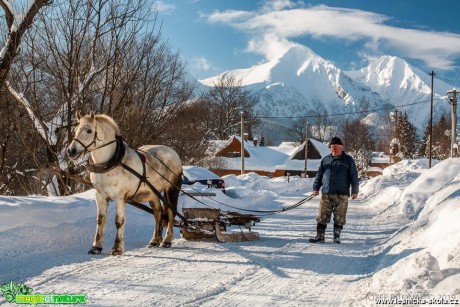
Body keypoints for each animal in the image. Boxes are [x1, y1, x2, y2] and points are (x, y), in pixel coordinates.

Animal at [67, 112, 182, 256]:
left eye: (89, 130)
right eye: (76, 129)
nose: (71, 151)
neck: (111, 162)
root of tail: (172, 152)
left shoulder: (120, 196)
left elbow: (119, 221)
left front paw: (117, 248)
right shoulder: (100, 196)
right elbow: (100, 220)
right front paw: (96, 247)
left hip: (171, 189)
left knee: (171, 213)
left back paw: (167, 240)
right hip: (152, 193)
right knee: (158, 213)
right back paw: (155, 240)